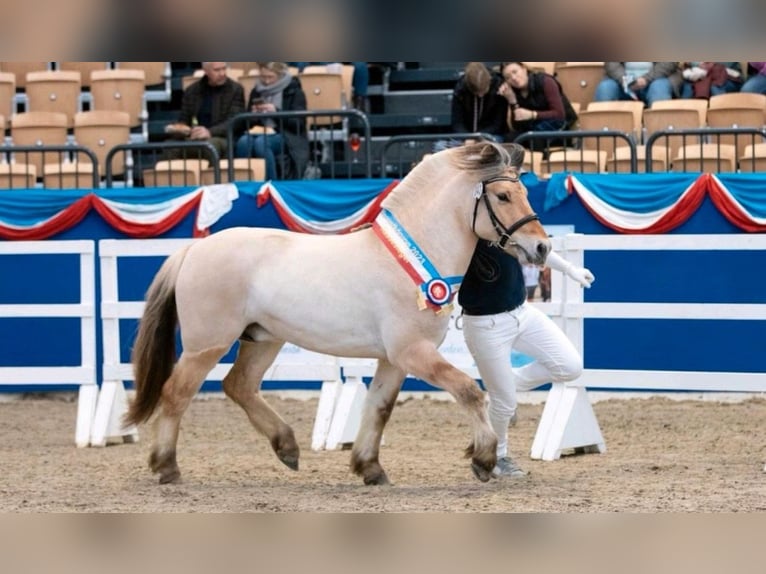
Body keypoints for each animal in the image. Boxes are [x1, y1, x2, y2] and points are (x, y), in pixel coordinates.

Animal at [127, 141, 552, 486]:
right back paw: (167, 467)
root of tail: (192, 250)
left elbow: (379, 408)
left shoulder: (393, 359)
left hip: (263, 339)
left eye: (524, 192)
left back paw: (287, 448)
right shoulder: (413, 352)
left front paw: (370, 468)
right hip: (207, 345)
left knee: (239, 385)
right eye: (502, 195)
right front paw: (482, 459)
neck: (410, 258)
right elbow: (468, 390)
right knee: (176, 393)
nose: (542, 247)